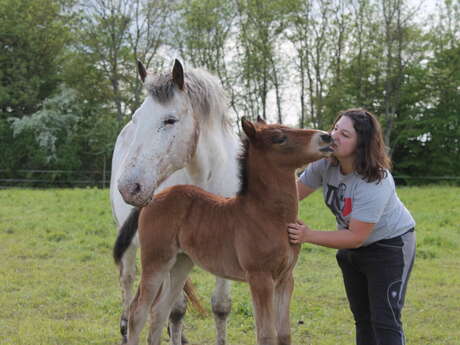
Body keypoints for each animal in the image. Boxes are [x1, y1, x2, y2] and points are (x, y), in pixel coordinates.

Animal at [111, 59, 239, 344]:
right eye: (137, 118)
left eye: (170, 120)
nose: (129, 187)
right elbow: (176, 310)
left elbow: (221, 306)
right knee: (128, 278)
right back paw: (125, 327)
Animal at [117, 117, 334, 342]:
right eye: (279, 138)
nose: (326, 137)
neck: (270, 216)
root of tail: (152, 199)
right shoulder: (260, 278)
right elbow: (266, 335)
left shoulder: (285, 279)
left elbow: (284, 334)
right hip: (156, 261)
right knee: (138, 313)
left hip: (181, 263)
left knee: (160, 311)